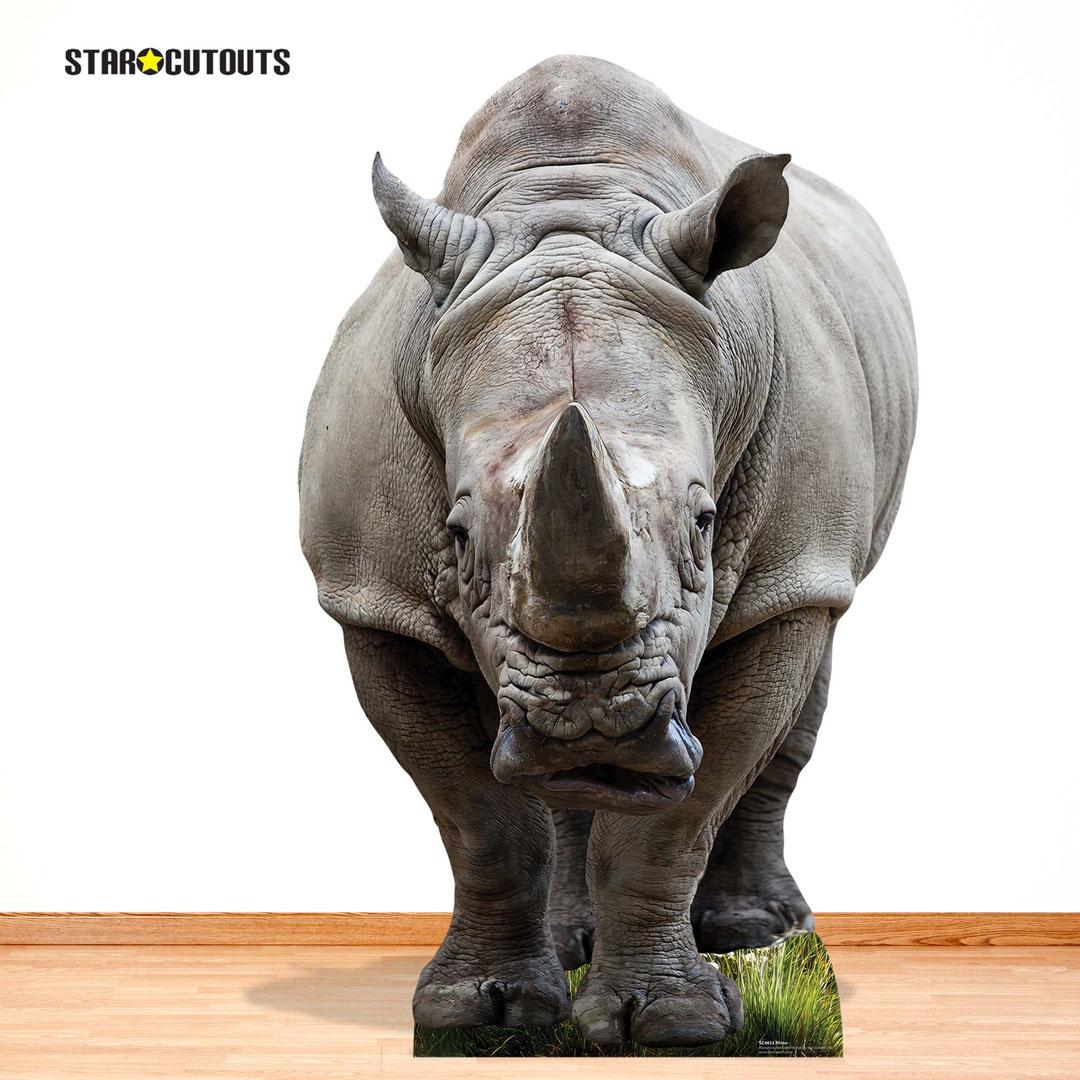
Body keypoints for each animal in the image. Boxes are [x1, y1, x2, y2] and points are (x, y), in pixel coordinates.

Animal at [299, 55, 916, 1047]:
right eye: (456, 536)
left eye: (705, 523)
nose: (594, 724)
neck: (572, 206)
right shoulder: (372, 596)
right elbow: (480, 820)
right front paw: (476, 1012)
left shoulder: (793, 564)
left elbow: (676, 820)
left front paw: (667, 1024)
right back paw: (573, 933)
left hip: (822, 554)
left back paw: (754, 929)